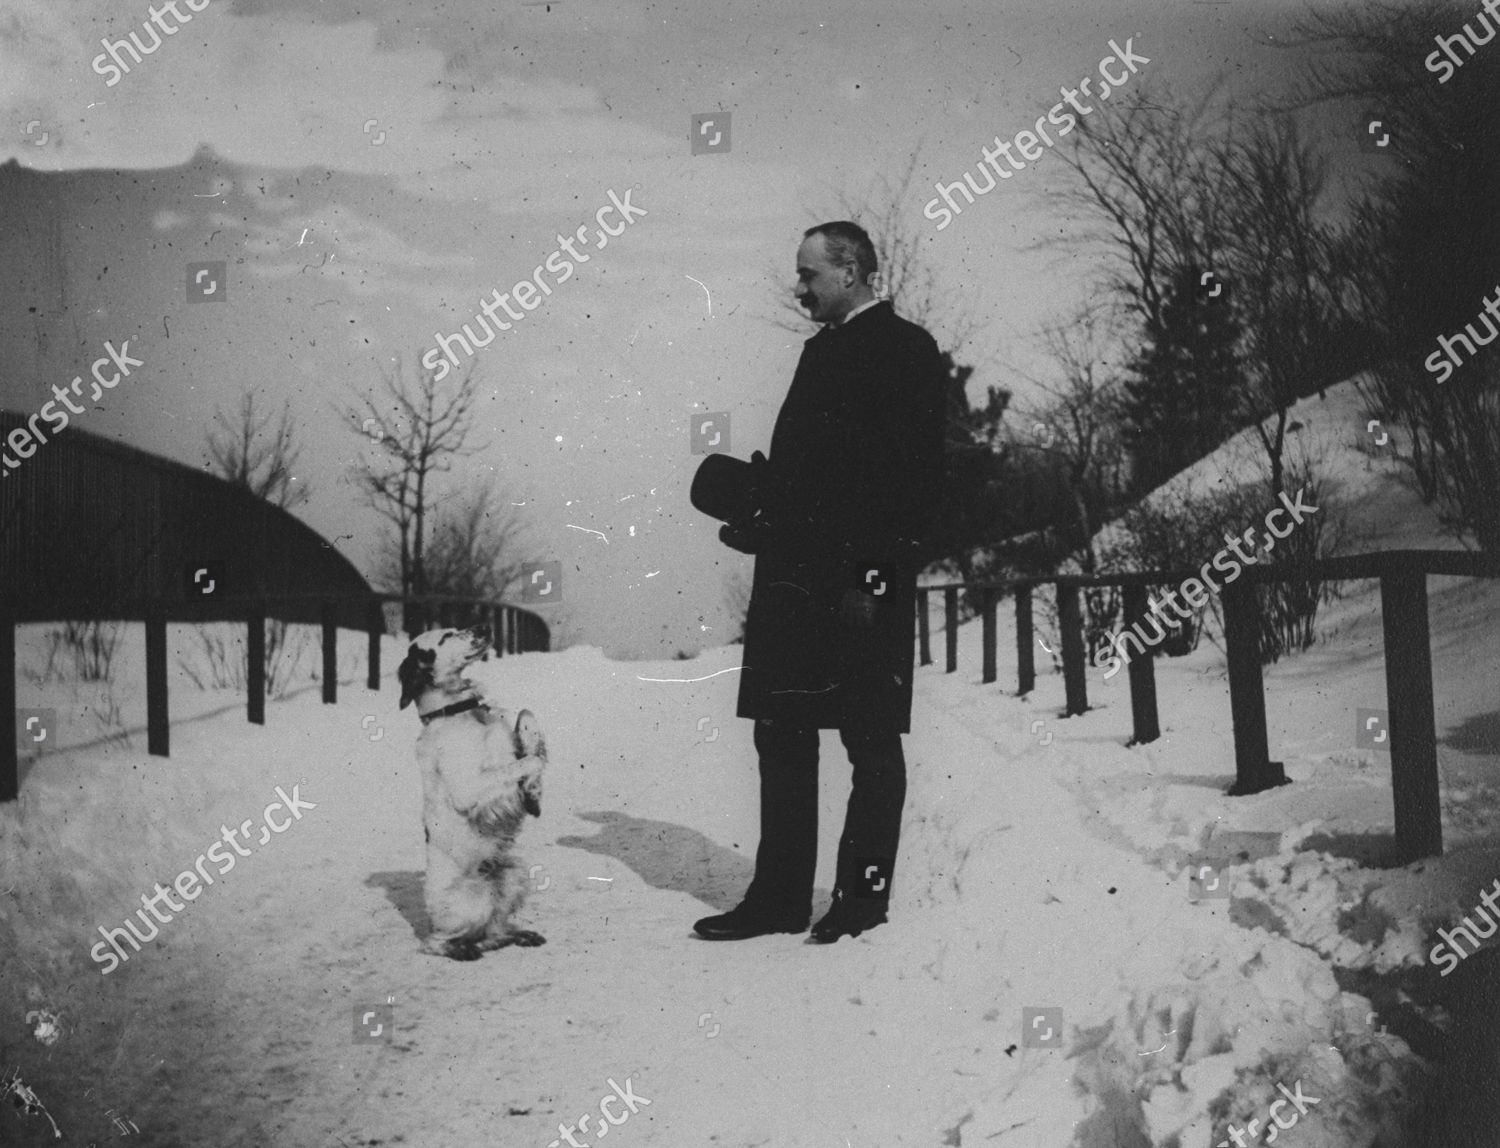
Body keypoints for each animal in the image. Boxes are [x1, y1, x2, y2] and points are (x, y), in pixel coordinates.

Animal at [396, 627, 549, 960]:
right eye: (445, 637)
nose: (484, 628)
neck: (458, 713)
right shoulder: (468, 789)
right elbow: (528, 761)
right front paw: (532, 782)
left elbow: (527, 718)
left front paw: (533, 792)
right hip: (467, 906)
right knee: (435, 943)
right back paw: (461, 950)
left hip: (514, 874)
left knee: (495, 931)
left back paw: (520, 935)